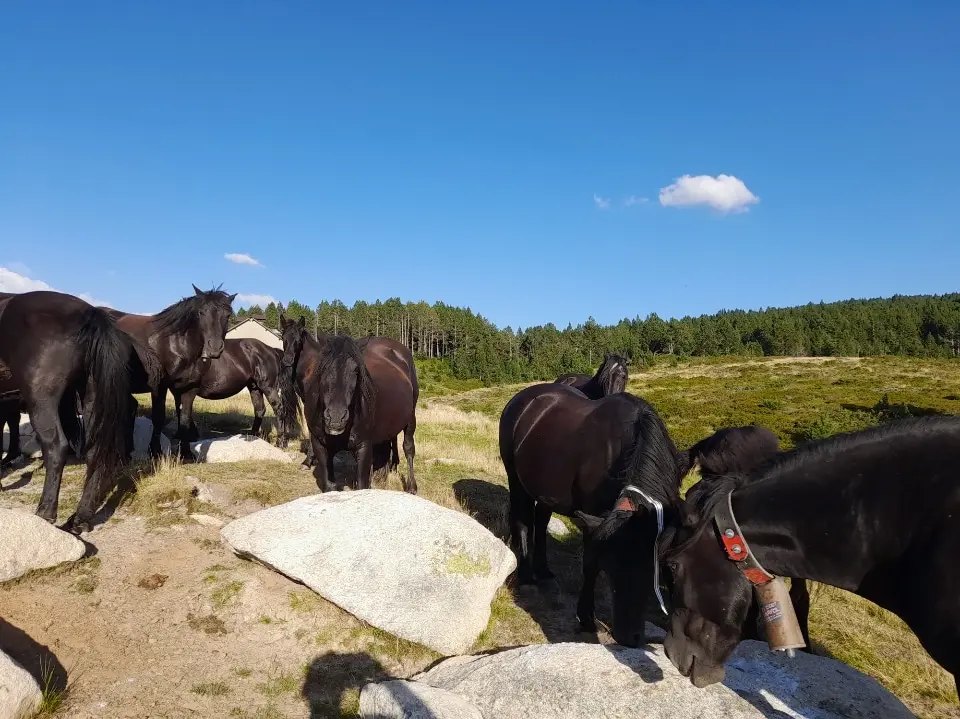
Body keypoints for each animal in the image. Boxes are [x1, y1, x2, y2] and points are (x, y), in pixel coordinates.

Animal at [0, 290, 136, 532]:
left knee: (56, 447)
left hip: (42, 399)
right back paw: (80, 518)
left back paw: (45, 512)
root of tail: (90, 313)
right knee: (95, 452)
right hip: (91, 396)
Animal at [102, 285, 235, 460]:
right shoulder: (159, 386)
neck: (176, 344)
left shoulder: (189, 388)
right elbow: (158, 418)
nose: (215, 348)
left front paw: (186, 453)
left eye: (228, 315)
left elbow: (184, 419)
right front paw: (155, 451)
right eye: (201, 312)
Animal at [170, 338, 298, 449]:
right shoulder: (177, 393)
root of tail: (271, 350)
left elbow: (185, 414)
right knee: (260, 409)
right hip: (254, 387)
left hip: (268, 387)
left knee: (279, 409)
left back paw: (280, 442)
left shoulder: (189, 392)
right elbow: (181, 412)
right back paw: (253, 437)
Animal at [282, 317, 419, 492]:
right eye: (323, 367)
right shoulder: (321, 446)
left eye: (356, 370)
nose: (336, 418)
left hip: (411, 417)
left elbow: (362, 484)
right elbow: (329, 485)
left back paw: (411, 486)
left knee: (408, 448)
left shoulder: (364, 447)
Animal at [498, 381, 688, 647]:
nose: (630, 638)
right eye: (612, 571)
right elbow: (590, 565)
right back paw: (527, 580)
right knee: (523, 522)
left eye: (654, 573)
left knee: (541, 521)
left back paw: (544, 572)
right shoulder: (594, 519)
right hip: (516, 480)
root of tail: (522, 397)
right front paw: (586, 619)